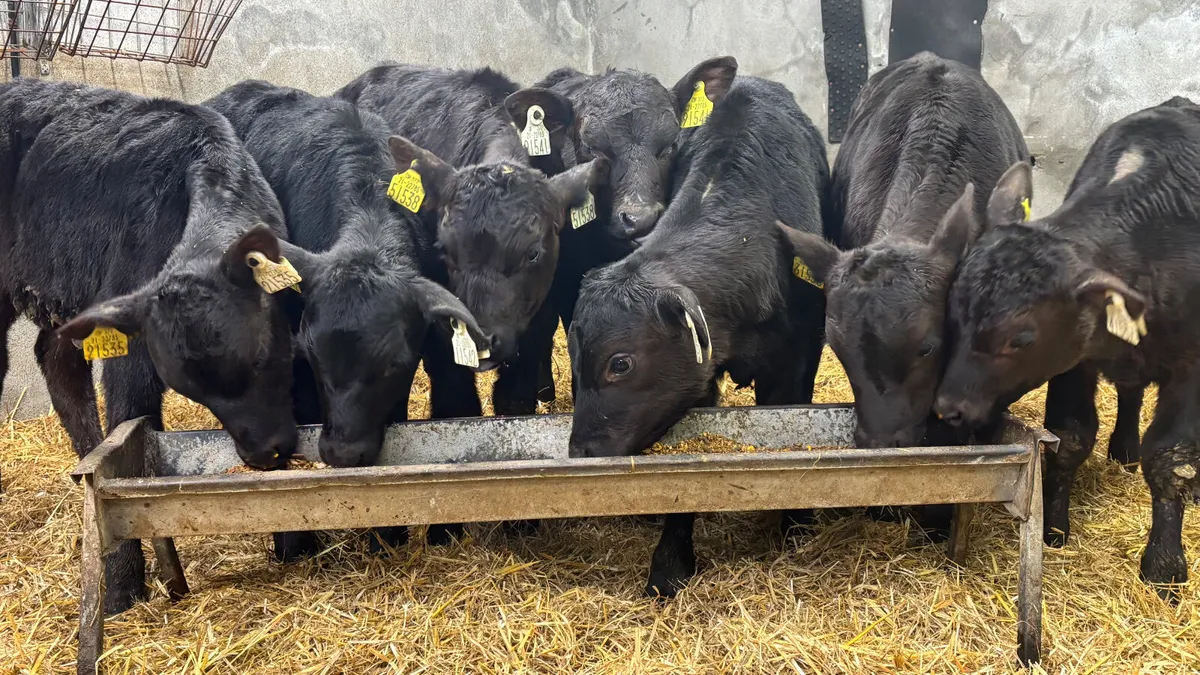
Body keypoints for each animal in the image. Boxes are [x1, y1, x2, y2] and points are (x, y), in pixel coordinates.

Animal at [0, 79, 294, 614]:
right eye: (195, 390)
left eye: (262, 357)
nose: (266, 453)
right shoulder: (132, 356)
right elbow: (129, 458)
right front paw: (123, 585)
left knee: (56, 359)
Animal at [567, 75, 831, 597]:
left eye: (620, 363)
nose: (579, 451)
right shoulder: (701, 379)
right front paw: (670, 564)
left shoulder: (796, 363)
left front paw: (794, 523)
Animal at [934, 96, 1200, 600]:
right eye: (952, 315)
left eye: (1020, 339)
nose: (947, 408)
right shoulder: (1077, 363)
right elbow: (1071, 437)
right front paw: (1055, 527)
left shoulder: (1189, 370)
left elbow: (1170, 460)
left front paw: (1164, 564)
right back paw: (1124, 447)